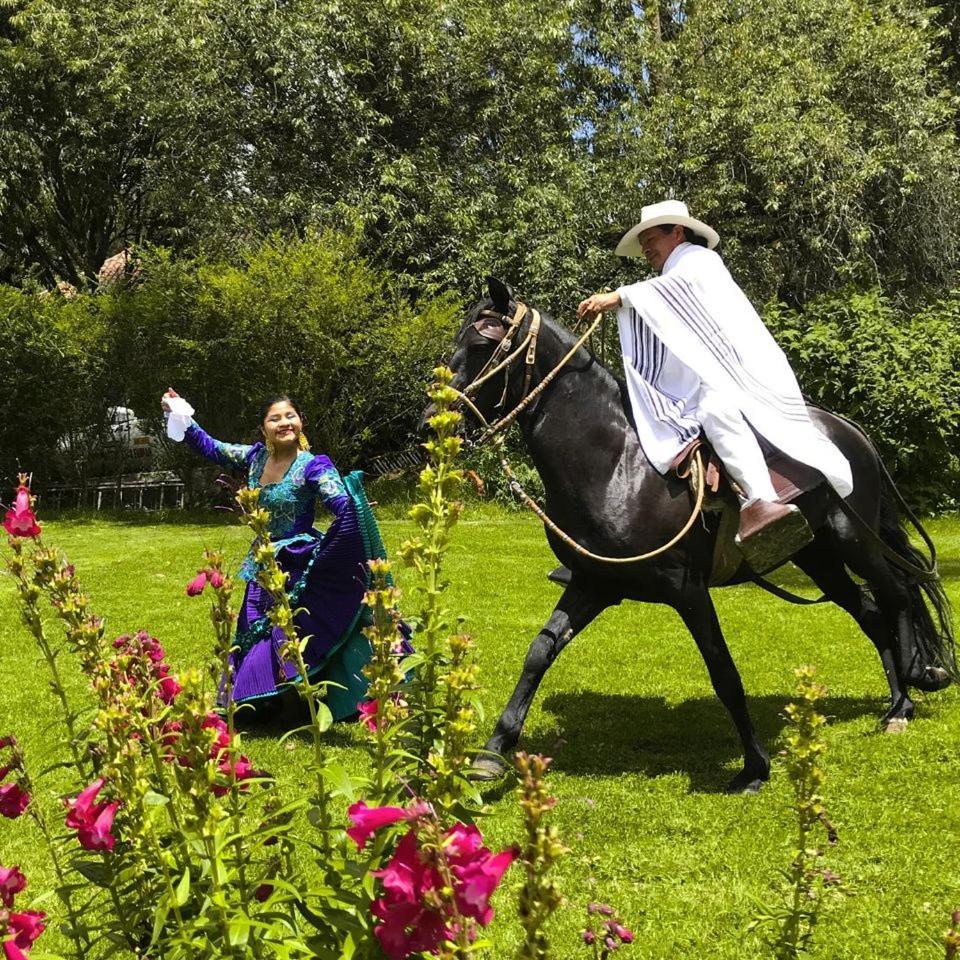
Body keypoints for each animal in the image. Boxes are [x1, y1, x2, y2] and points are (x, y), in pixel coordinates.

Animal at [438, 278, 956, 796]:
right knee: (871, 611)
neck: (617, 464)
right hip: (818, 557)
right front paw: (492, 753)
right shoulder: (594, 583)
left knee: (898, 594)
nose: (434, 415)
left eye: (482, 342)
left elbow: (723, 672)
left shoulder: (687, 590)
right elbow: (539, 652)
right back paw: (898, 701)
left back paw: (912, 688)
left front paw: (754, 767)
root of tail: (848, 429)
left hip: (853, 540)